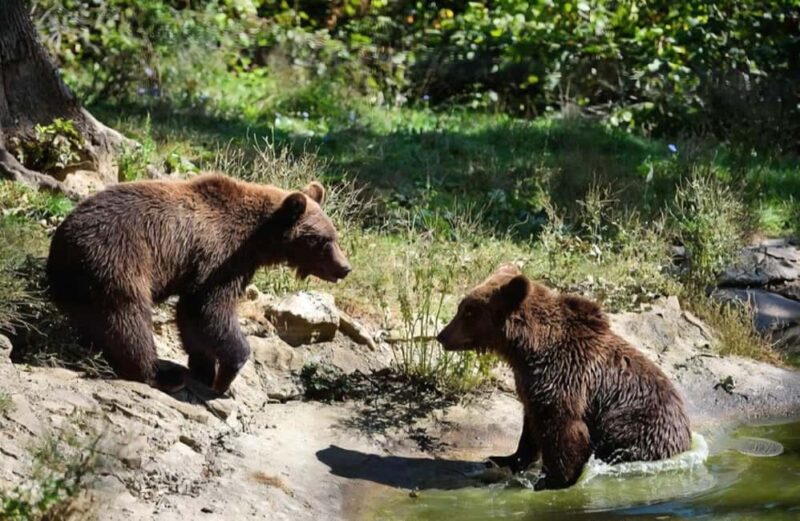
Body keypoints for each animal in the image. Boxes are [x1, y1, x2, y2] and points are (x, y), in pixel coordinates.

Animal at [46, 173, 350, 394]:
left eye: (334, 236)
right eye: (322, 240)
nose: (345, 267)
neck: (258, 240)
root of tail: (61, 244)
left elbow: (192, 317)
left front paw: (203, 368)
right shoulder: (220, 258)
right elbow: (208, 309)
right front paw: (226, 374)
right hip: (118, 260)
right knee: (128, 318)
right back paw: (160, 374)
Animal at [436, 264, 691, 490]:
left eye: (468, 311)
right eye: (462, 307)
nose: (441, 335)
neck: (527, 348)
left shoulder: (566, 374)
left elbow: (563, 427)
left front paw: (553, 480)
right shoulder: (530, 382)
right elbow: (531, 423)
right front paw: (504, 458)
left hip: (637, 426)